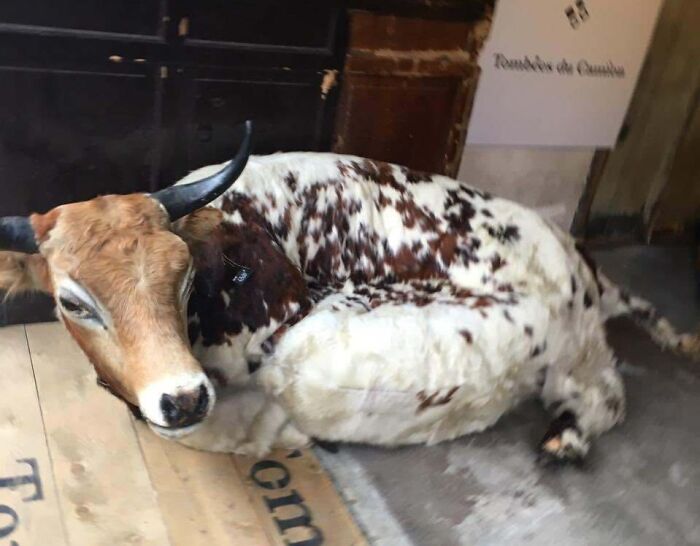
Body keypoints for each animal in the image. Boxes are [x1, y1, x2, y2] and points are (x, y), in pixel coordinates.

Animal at [1, 121, 698, 463]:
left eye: (185, 274)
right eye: (72, 301)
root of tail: (575, 254)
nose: (183, 398)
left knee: (607, 398)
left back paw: (568, 440)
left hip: (572, 357)